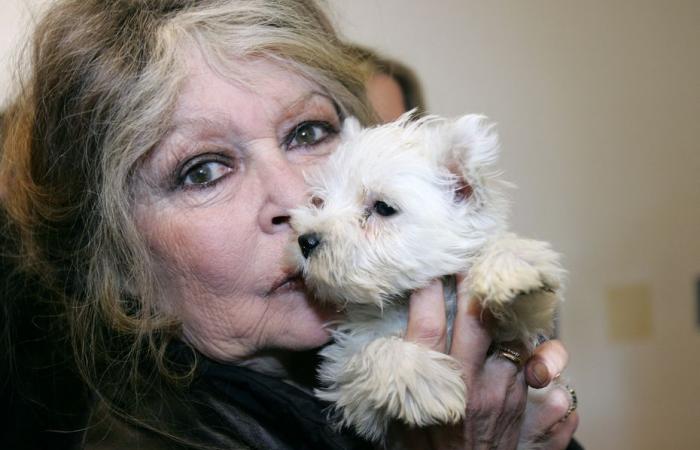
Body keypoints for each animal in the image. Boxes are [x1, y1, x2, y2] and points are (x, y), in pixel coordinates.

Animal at [288, 112, 568, 442]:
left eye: (383, 208)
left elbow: (523, 305)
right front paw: (421, 378)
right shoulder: (346, 383)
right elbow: (372, 351)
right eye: (320, 201)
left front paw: (512, 267)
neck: (404, 298)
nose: (305, 241)